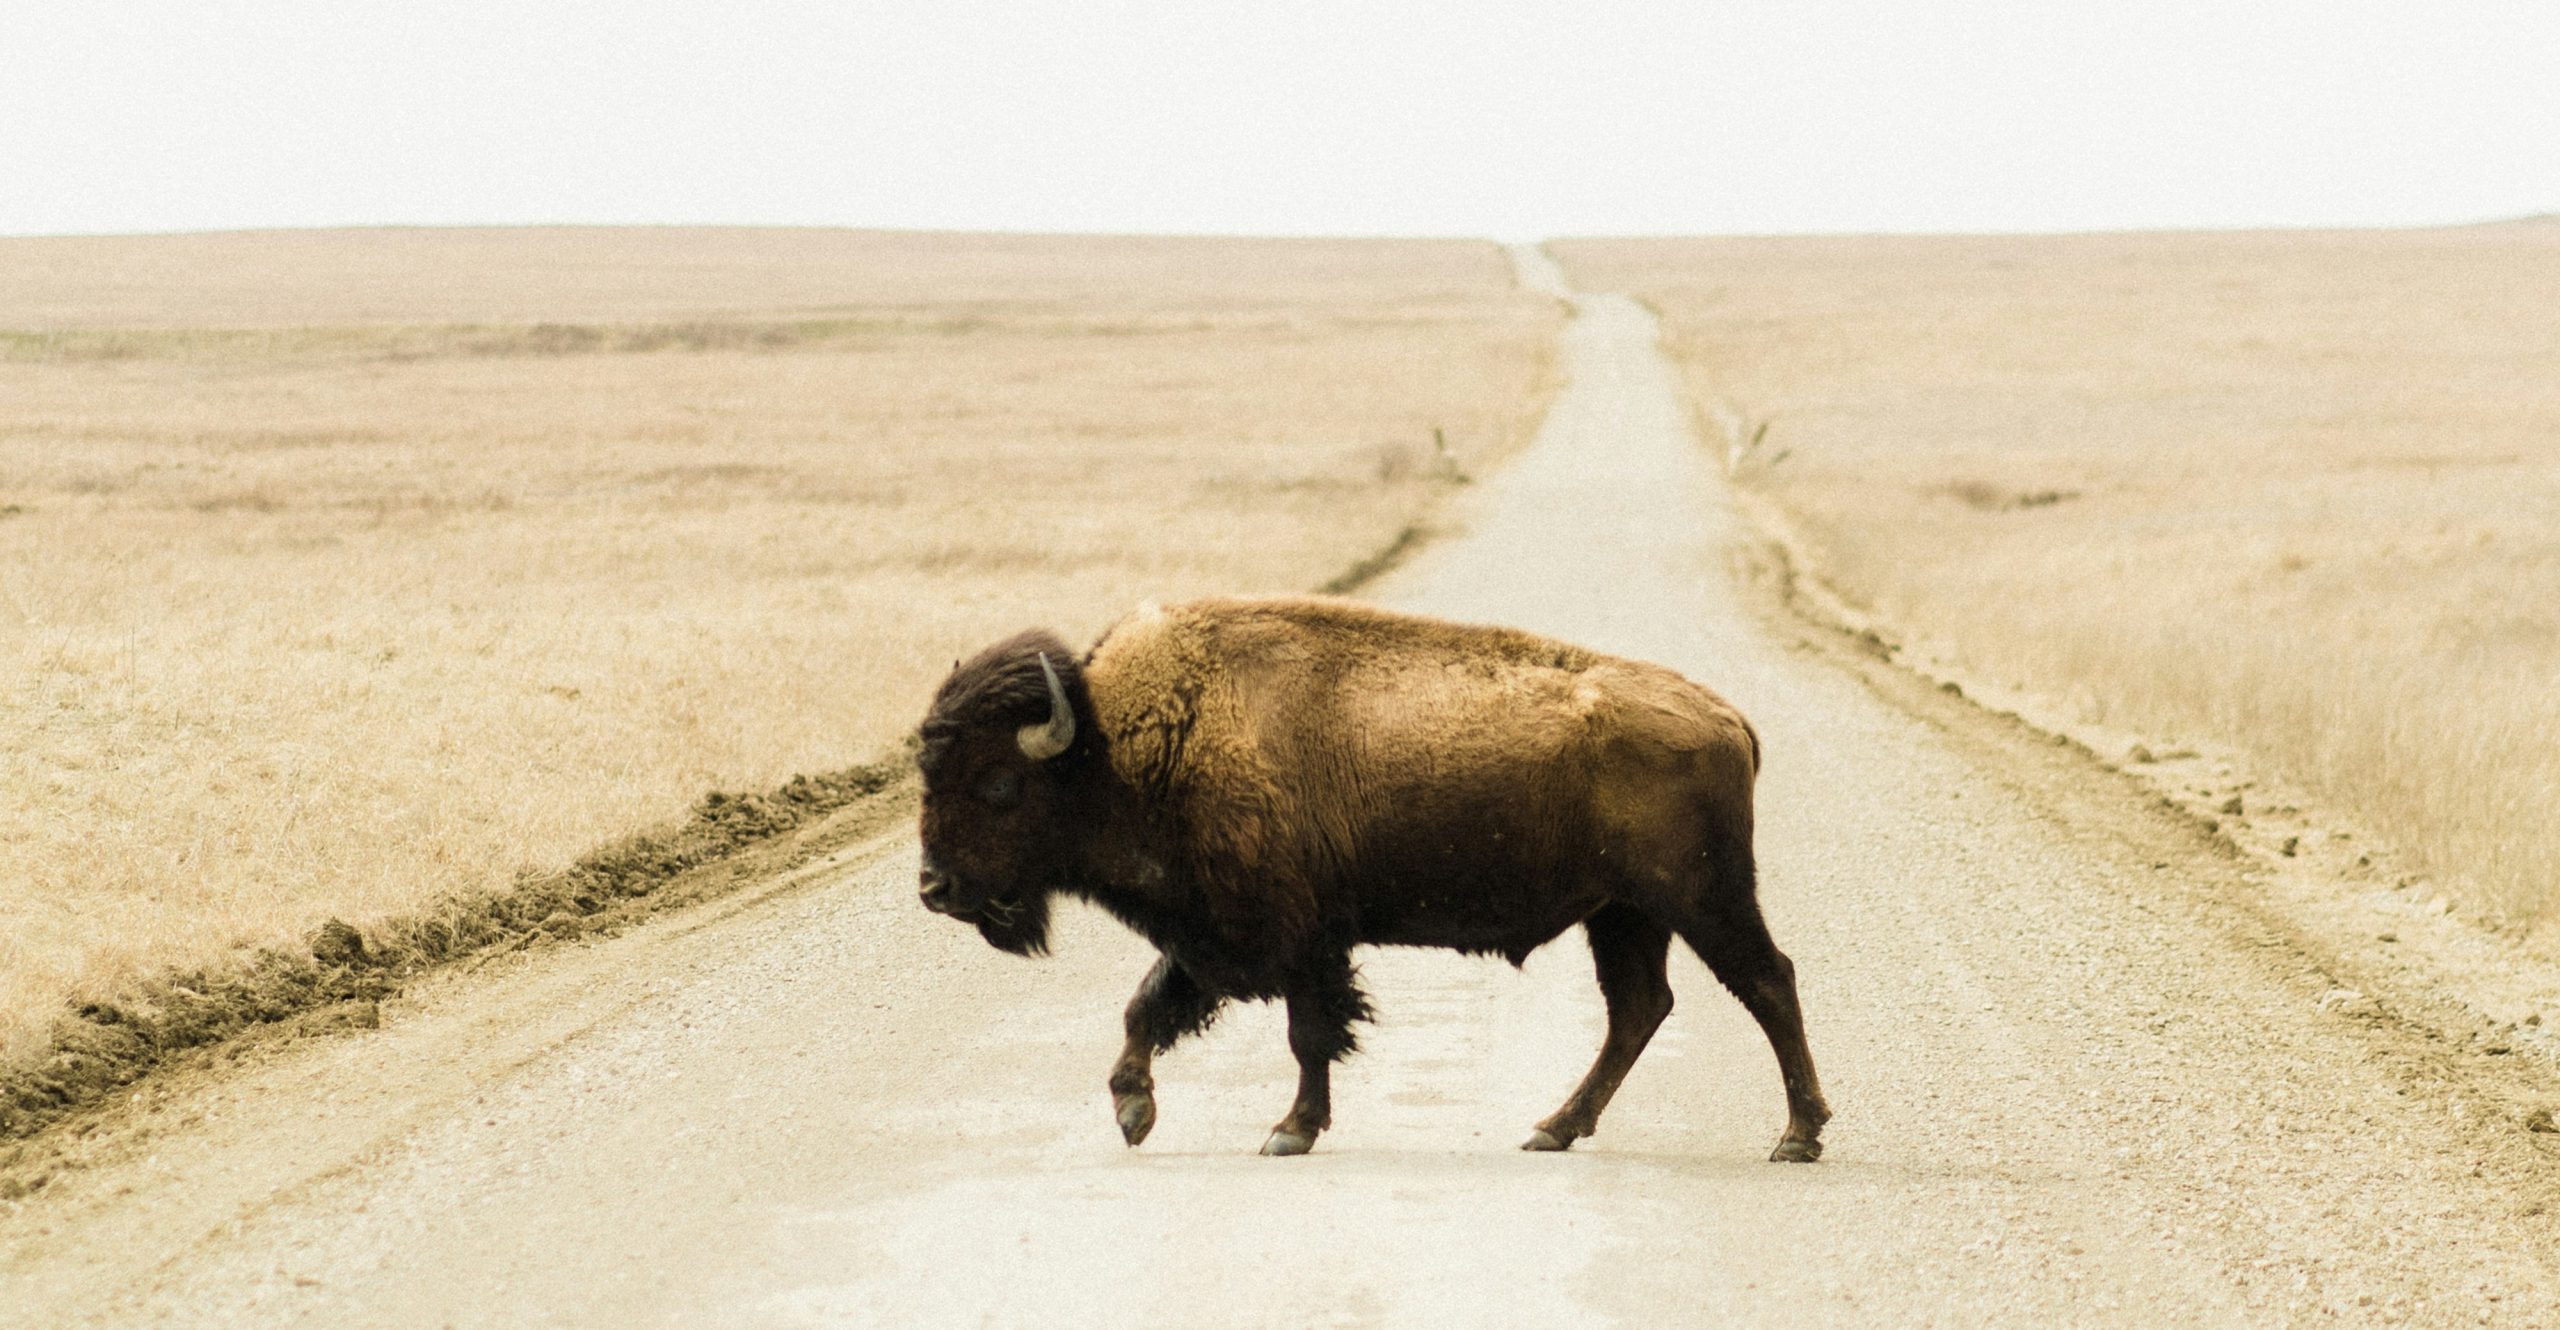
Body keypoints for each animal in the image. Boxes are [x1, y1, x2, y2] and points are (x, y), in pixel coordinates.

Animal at [911, 598, 1832, 1156]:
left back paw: (1798, 1135)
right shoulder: (1210, 935)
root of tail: (1728, 718)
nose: (934, 889)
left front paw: (1289, 1131)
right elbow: (1147, 1007)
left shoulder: (1294, 938)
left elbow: (1307, 1034)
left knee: (1766, 982)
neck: (1122, 744)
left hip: (1701, 899)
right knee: (1639, 1009)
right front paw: (1134, 1113)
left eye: (997, 784)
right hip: (1623, 914)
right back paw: (1552, 1128)